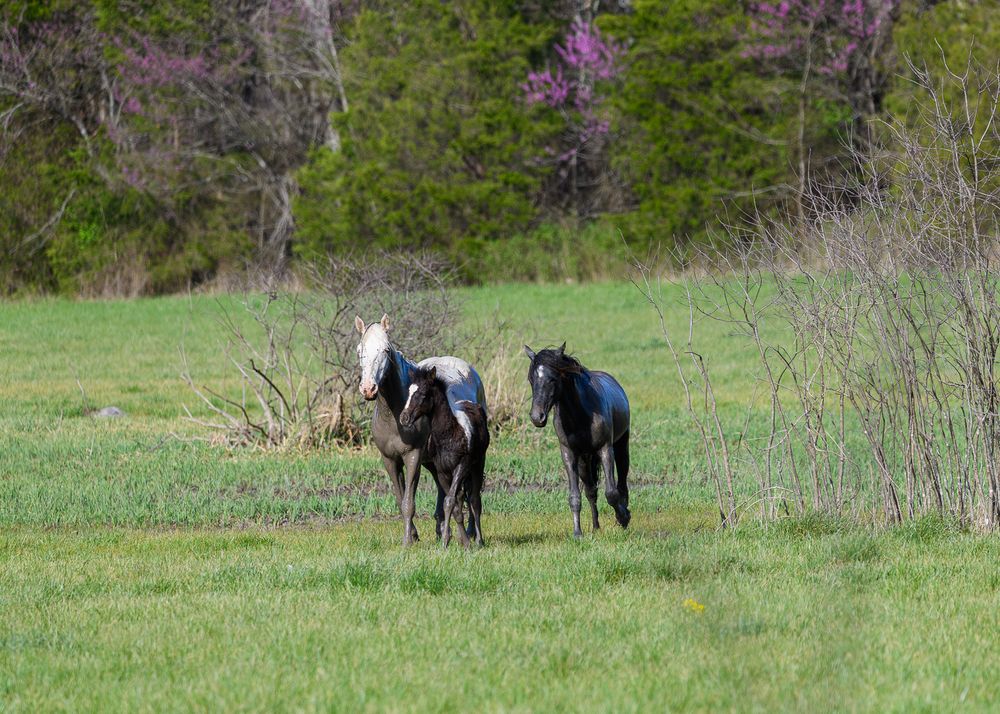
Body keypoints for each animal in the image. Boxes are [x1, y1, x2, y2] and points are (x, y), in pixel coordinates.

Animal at [400, 365, 490, 548]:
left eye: (423, 394)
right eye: (409, 392)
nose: (404, 418)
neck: (449, 433)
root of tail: (473, 404)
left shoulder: (462, 465)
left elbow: (449, 501)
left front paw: (445, 543)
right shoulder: (441, 471)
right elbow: (452, 504)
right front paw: (455, 541)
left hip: (478, 464)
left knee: (475, 500)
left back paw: (479, 540)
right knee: (461, 497)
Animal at [523, 343, 631, 537]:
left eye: (552, 379)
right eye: (531, 379)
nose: (537, 417)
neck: (580, 416)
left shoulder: (605, 450)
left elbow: (611, 493)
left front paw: (623, 518)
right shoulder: (569, 454)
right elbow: (575, 496)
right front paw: (577, 533)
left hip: (621, 446)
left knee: (621, 484)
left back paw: (623, 517)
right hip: (583, 460)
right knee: (591, 490)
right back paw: (595, 526)